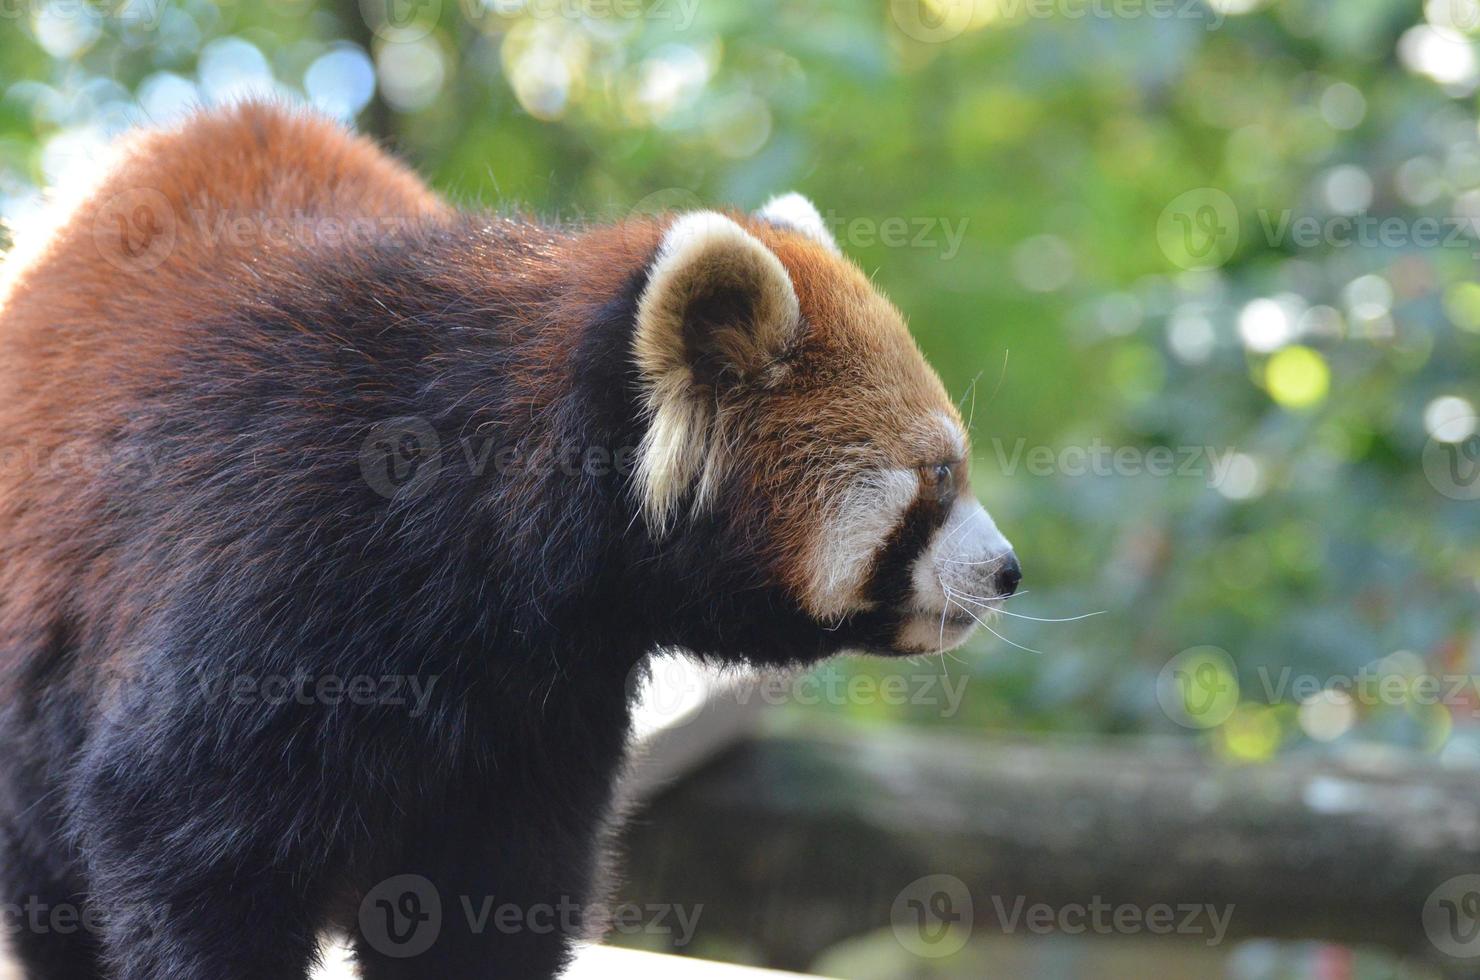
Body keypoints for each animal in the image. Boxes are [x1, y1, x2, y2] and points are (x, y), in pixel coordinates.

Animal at [0, 103, 1018, 977]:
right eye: (938, 477)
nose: (1007, 571)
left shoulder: (543, 709)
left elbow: (490, 902)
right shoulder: (277, 556)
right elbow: (179, 839)